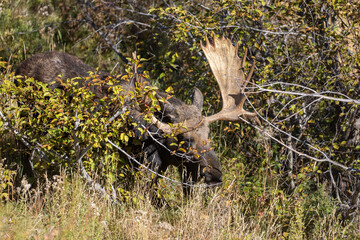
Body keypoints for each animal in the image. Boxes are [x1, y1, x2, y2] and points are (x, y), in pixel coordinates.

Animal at [15, 35, 258, 196]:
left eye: (209, 134)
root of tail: (18, 67)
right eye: (185, 139)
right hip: (26, 121)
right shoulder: (135, 161)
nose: (215, 174)